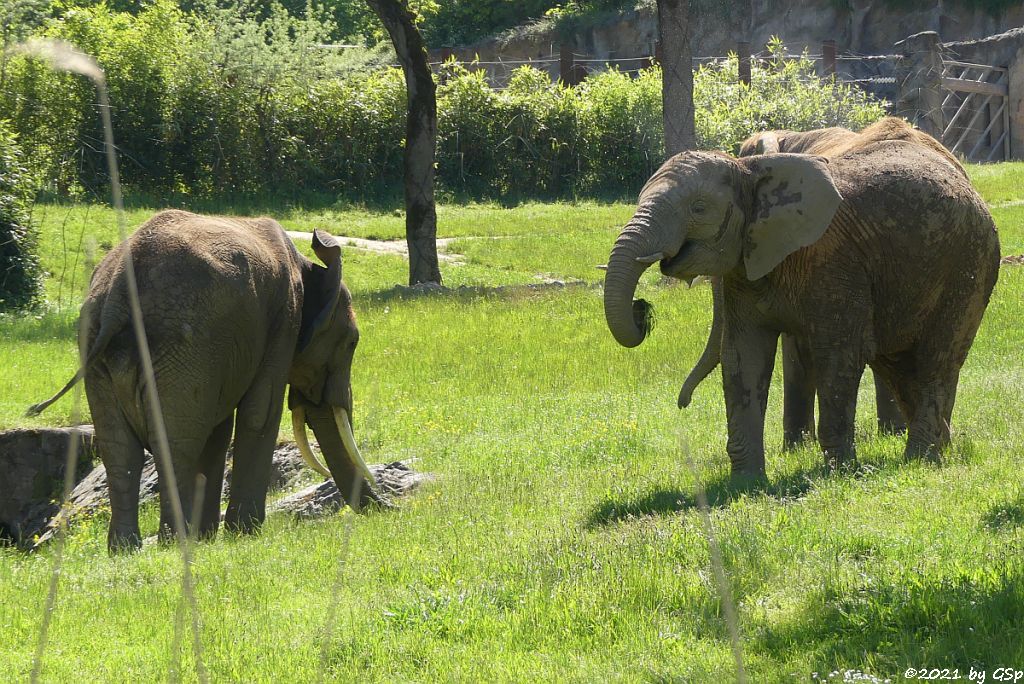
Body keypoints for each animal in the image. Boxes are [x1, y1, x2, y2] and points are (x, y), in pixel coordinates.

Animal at [29, 210, 387, 552]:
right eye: (352, 342)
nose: (388, 509)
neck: (308, 266)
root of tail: (118, 291)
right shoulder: (283, 320)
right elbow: (259, 413)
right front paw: (243, 533)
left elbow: (218, 430)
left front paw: (208, 536)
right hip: (184, 341)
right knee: (174, 443)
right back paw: (175, 541)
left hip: (104, 345)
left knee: (120, 448)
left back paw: (125, 550)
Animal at [602, 131, 995, 479]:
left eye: (698, 209)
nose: (643, 311)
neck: (748, 171)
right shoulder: (747, 265)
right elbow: (743, 357)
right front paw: (746, 484)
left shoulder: (834, 260)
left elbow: (840, 353)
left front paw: (838, 474)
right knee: (897, 364)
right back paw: (944, 446)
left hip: (969, 264)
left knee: (936, 358)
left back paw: (920, 460)